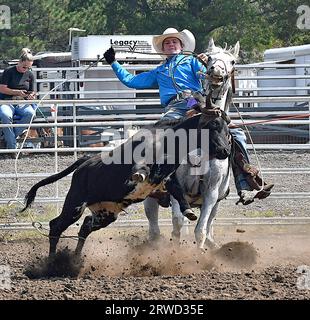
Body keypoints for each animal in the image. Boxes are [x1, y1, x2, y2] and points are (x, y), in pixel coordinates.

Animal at [146, 38, 240, 249]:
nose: (216, 71)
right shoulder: (175, 186)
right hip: (151, 196)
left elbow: (200, 231)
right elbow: (178, 224)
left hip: (217, 199)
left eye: (232, 62)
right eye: (209, 57)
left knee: (209, 223)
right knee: (154, 227)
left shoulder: (212, 193)